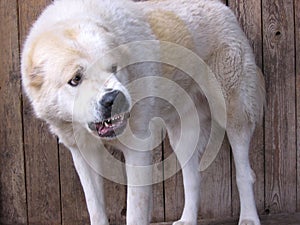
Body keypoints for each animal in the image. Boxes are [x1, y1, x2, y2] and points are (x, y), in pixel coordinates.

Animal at [21, 0, 264, 225]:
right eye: (76, 79)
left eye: (113, 68)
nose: (113, 98)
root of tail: (223, 7)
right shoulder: (84, 155)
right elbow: (96, 210)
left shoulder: (137, 151)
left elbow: (135, 211)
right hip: (183, 135)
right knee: (193, 178)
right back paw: (187, 220)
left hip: (233, 114)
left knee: (245, 173)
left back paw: (249, 217)